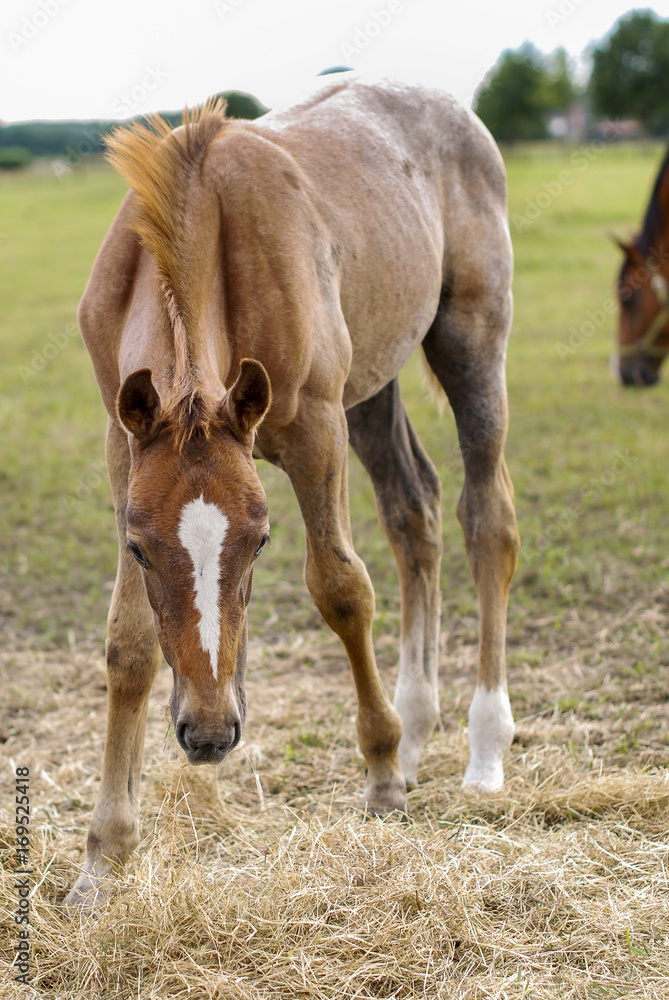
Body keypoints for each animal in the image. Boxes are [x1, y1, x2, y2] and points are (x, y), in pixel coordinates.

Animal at [63, 79, 519, 912]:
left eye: (261, 542)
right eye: (139, 548)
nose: (208, 735)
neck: (203, 211)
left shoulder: (313, 427)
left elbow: (341, 588)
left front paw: (379, 780)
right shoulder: (122, 446)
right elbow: (129, 644)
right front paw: (101, 863)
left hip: (468, 340)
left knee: (486, 519)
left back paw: (480, 750)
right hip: (372, 385)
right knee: (414, 512)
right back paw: (415, 729)